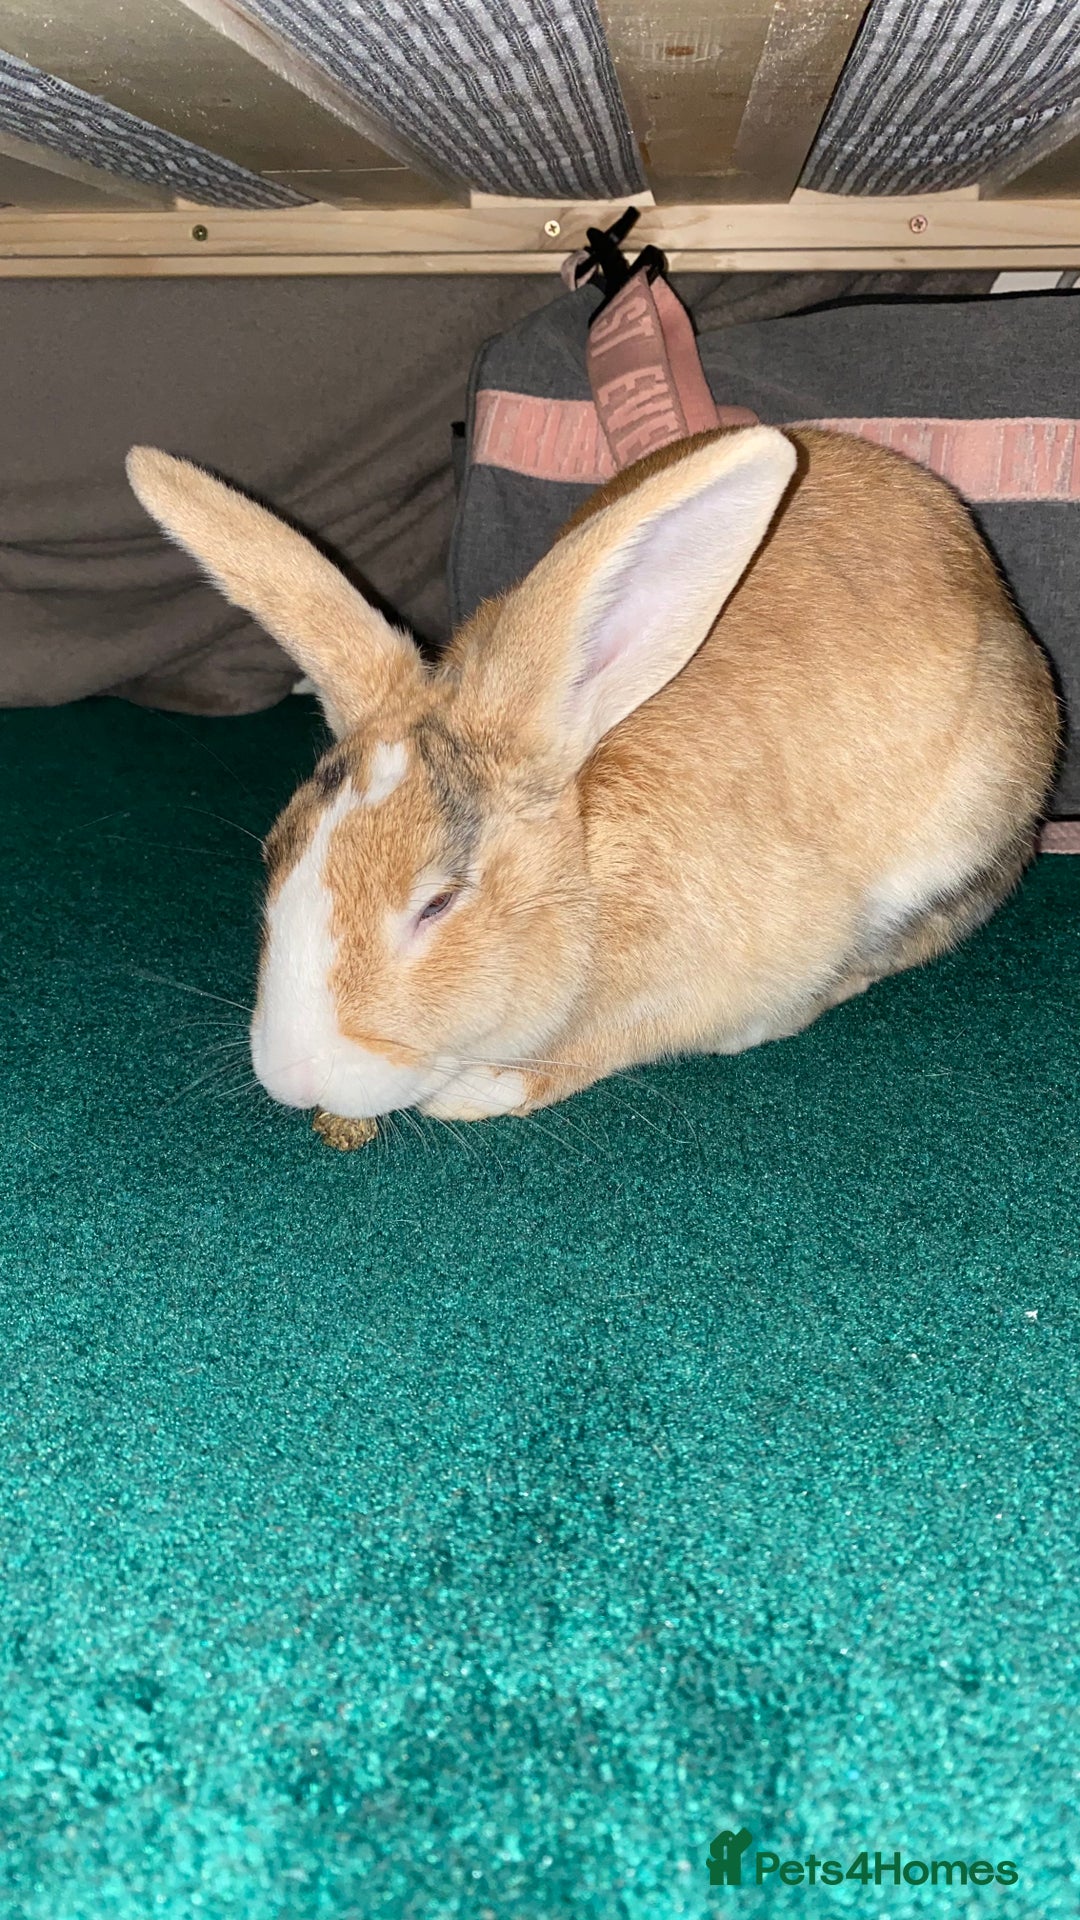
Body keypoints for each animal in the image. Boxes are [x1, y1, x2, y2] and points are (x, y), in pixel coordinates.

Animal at [127, 425, 1059, 1123]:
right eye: (276, 854)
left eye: (437, 902)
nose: (292, 1078)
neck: (588, 861)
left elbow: (628, 1039)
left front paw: (481, 1089)